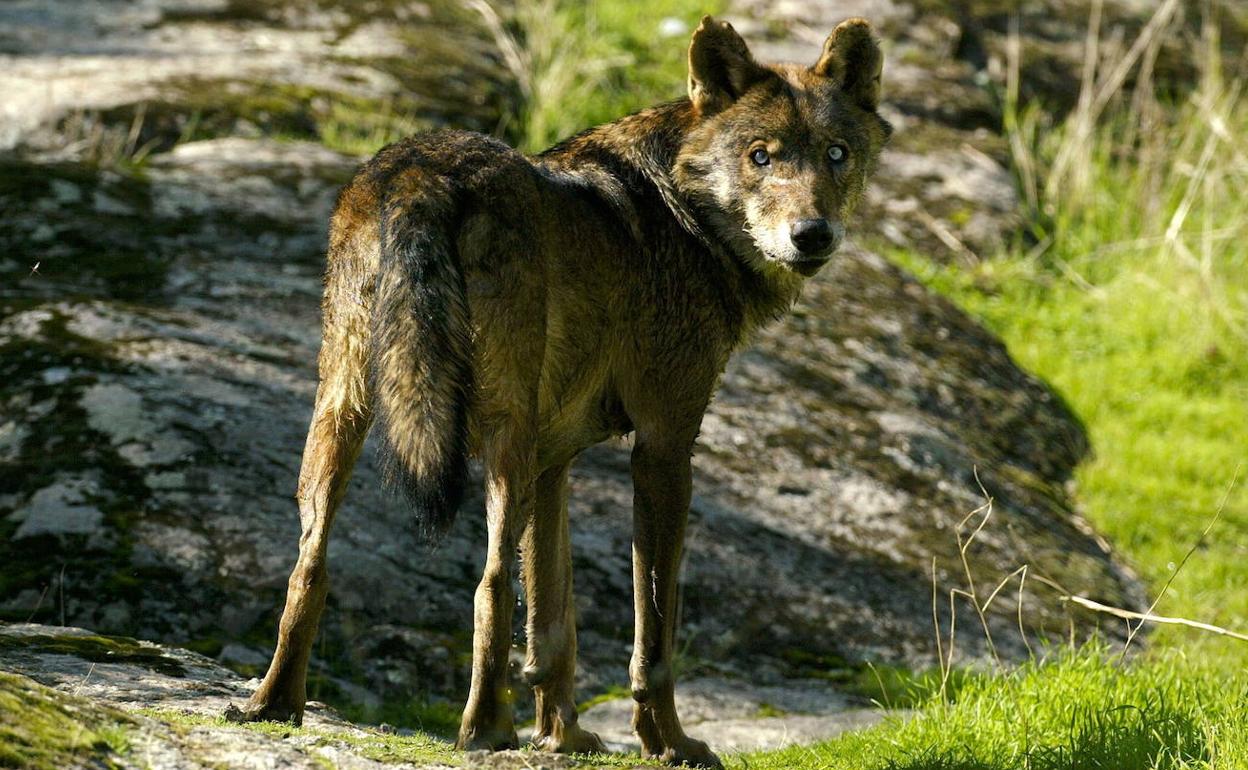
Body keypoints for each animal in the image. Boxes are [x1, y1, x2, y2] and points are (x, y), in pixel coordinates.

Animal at [224, 14, 888, 763]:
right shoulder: (663, 449)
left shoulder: (554, 461)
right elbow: (653, 631)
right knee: (488, 583)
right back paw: (485, 731)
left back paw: (275, 705)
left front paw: (563, 736)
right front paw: (668, 742)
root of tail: (424, 169)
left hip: (345, 413)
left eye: (835, 153)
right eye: (762, 156)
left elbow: (552, 625)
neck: (682, 211)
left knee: (310, 565)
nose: (813, 235)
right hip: (500, 439)